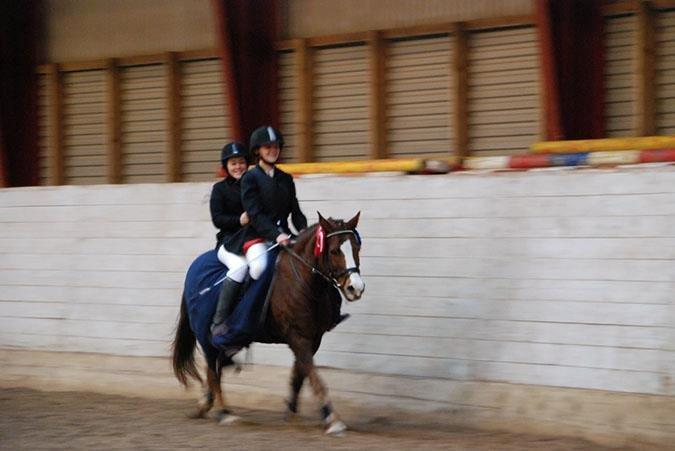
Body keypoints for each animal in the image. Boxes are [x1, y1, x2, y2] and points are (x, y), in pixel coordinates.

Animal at [172, 214, 368, 436]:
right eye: (334, 250)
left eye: (357, 247)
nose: (355, 288)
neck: (304, 281)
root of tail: (194, 268)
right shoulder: (298, 337)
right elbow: (313, 375)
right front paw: (332, 419)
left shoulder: (313, 338)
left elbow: (299, 375)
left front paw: (291, 414)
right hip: (206, 335)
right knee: (214, 372)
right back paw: (225, 413)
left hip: (222, 341)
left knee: (215, 367)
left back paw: (205, 404)